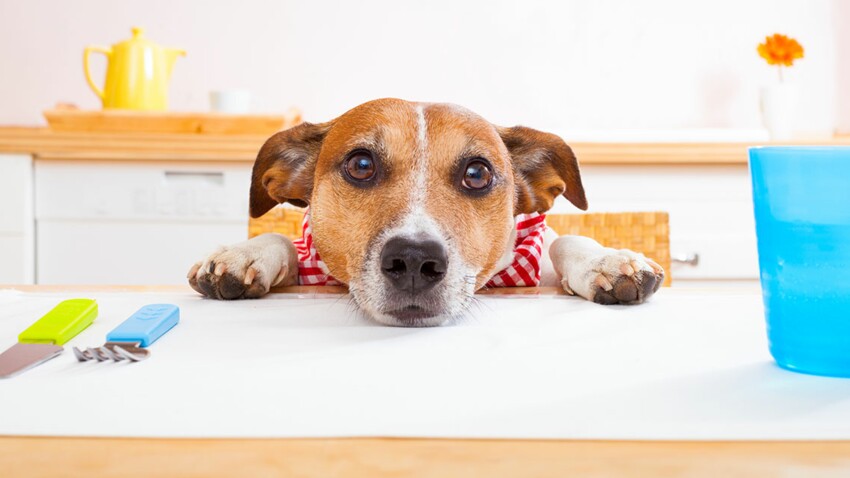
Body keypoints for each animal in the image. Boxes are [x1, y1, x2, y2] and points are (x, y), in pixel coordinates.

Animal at [187, 99, 664, 326]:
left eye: (477, 173)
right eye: (361, 165)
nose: (415, 260)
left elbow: (564, 239)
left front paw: (607, 261)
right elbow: (284, 239)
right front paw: (244, 254)